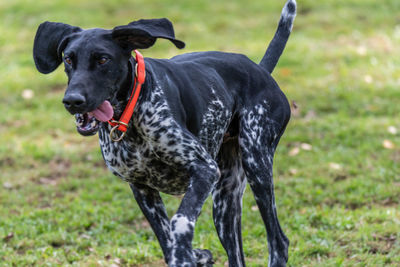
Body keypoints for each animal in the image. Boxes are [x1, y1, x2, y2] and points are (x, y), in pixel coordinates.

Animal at [32, 1, 296, 266]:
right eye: (68, 59)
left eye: (103, 59)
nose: (72, 101)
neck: (132, 115)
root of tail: (260, 70)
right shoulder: (142, 189)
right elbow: (166, 239)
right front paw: (194, 255)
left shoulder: (204, 169)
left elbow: (179, 223)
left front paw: (187, 253)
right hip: (225, 201)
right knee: (237, 255)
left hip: (255, 165)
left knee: (278, 241)